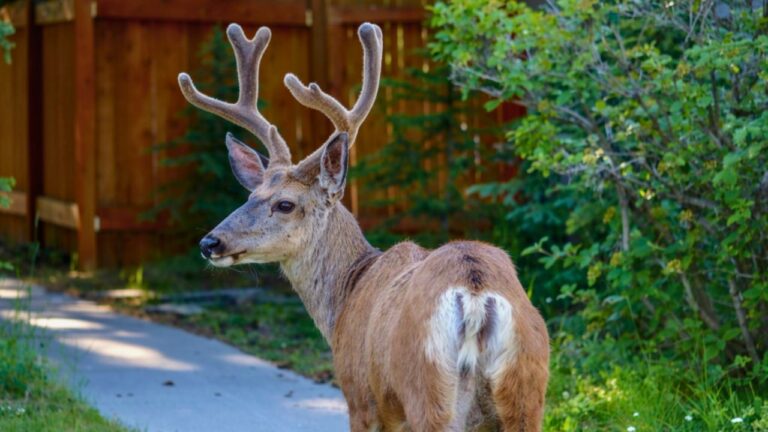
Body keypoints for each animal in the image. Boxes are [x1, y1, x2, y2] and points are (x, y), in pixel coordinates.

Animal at [178, 22, 549, 432]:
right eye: (250, 195)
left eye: (285, 204)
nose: (210, 242)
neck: (346, 292)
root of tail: (476, 297)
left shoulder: (360, 396)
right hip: (527, 390)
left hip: (427, 389)